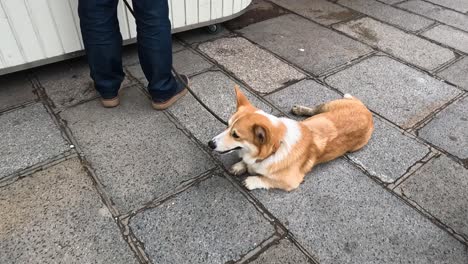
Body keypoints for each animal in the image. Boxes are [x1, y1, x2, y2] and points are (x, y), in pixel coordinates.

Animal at [208, 86, 372, 192]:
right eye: (227, 125)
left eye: (235, 135)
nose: (210, 143)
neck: (275, 149)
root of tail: (367, 111)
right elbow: (246, 162)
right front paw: (240, 166)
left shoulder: (291, 181)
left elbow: (266, 179)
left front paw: (251, 180)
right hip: (326, 107)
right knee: (314, 109)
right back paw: (299, 109)